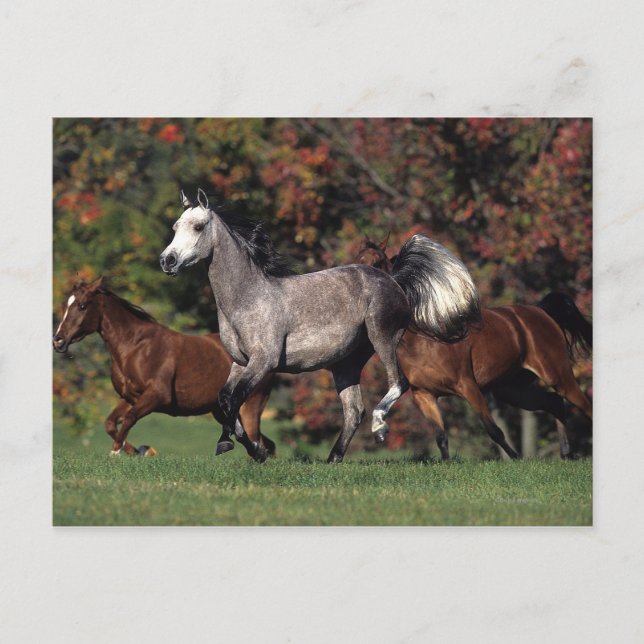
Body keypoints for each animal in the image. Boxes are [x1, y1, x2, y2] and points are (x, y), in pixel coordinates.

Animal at [52, 277, 275, 461]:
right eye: (64, 305)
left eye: (82, 306)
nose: (58, 341)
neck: (136, 347)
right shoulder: (130, 397)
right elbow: (111, 423)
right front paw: (136, 451)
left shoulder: (157, 395)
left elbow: (130, 418)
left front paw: (120, 452)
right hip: (222, 411)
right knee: (259, 442)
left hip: (249, 407)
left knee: (256, 441)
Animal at [160, 189, 481, 463]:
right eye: (175, 227)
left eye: (198, 227)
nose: (168, 260)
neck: (248, 297)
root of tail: (394, 280)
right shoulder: (240, 362)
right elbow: (225, 399)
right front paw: (254, 451)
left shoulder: (264, 362)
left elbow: (235, 399)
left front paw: (231, 444)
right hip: (346, 363)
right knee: (353, 410)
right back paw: (332, 459)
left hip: (383, 337)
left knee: (397, 383)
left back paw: (379, 429)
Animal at [355, 236, 593, 459]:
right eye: (357, 261)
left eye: (377, 263)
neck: (424, 337)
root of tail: (542, 311)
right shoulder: (424, 395)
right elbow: (441, 437)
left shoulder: (468, 386)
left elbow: (494, 430)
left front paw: (516, 458)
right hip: (514, 390)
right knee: (554, 403)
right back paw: (566, 453)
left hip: (558, 376)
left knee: (583, 405)